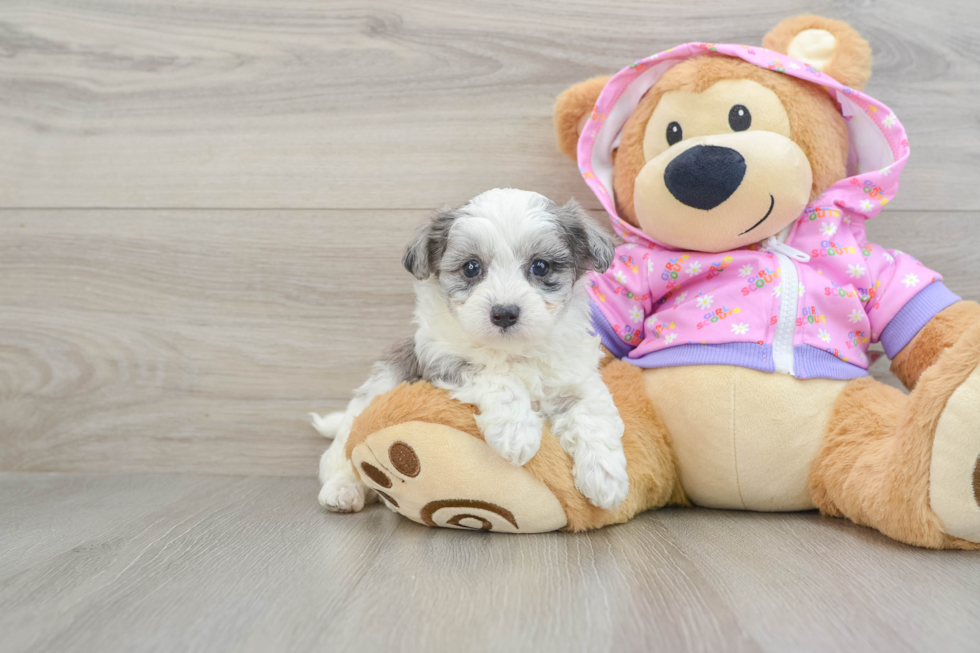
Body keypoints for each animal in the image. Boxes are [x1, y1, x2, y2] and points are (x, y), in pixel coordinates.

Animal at [312, 188, 628, 516]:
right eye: (471, 267)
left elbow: (593, 413)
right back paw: (342, 489)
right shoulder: (443, 358)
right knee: (342, 461)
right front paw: (516, 431)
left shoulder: (575, 376)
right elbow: (497, 379)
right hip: (362, 412)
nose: (504, 313)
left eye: (540, 266)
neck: (513, 350)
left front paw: (605, 478)